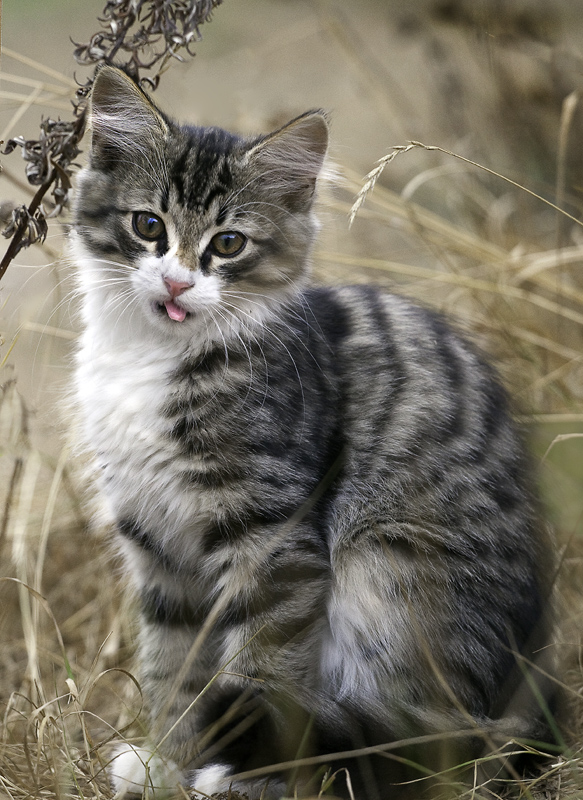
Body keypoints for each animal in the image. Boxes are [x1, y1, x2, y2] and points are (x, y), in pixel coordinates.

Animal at [70, 65, 556, 796]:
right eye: (148, 225)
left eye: (229, 244)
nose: (178, 283)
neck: (152, 358)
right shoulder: (156, 543)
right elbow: (172, 664)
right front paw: (168, 758)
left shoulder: (275, 541)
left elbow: (262, 667)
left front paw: (243, 778)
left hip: (385, 565)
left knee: (428, 740)